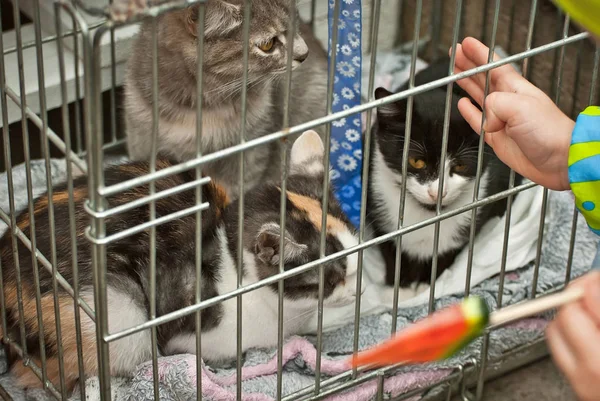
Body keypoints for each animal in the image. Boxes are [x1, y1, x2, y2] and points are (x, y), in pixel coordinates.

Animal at [368, 57, 516, 286]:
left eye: (461, 165)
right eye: (416, 161)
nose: (437, 192)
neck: (427, 213)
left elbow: (445, 255)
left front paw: (426, 285)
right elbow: (391, 252)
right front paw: (399, 285)